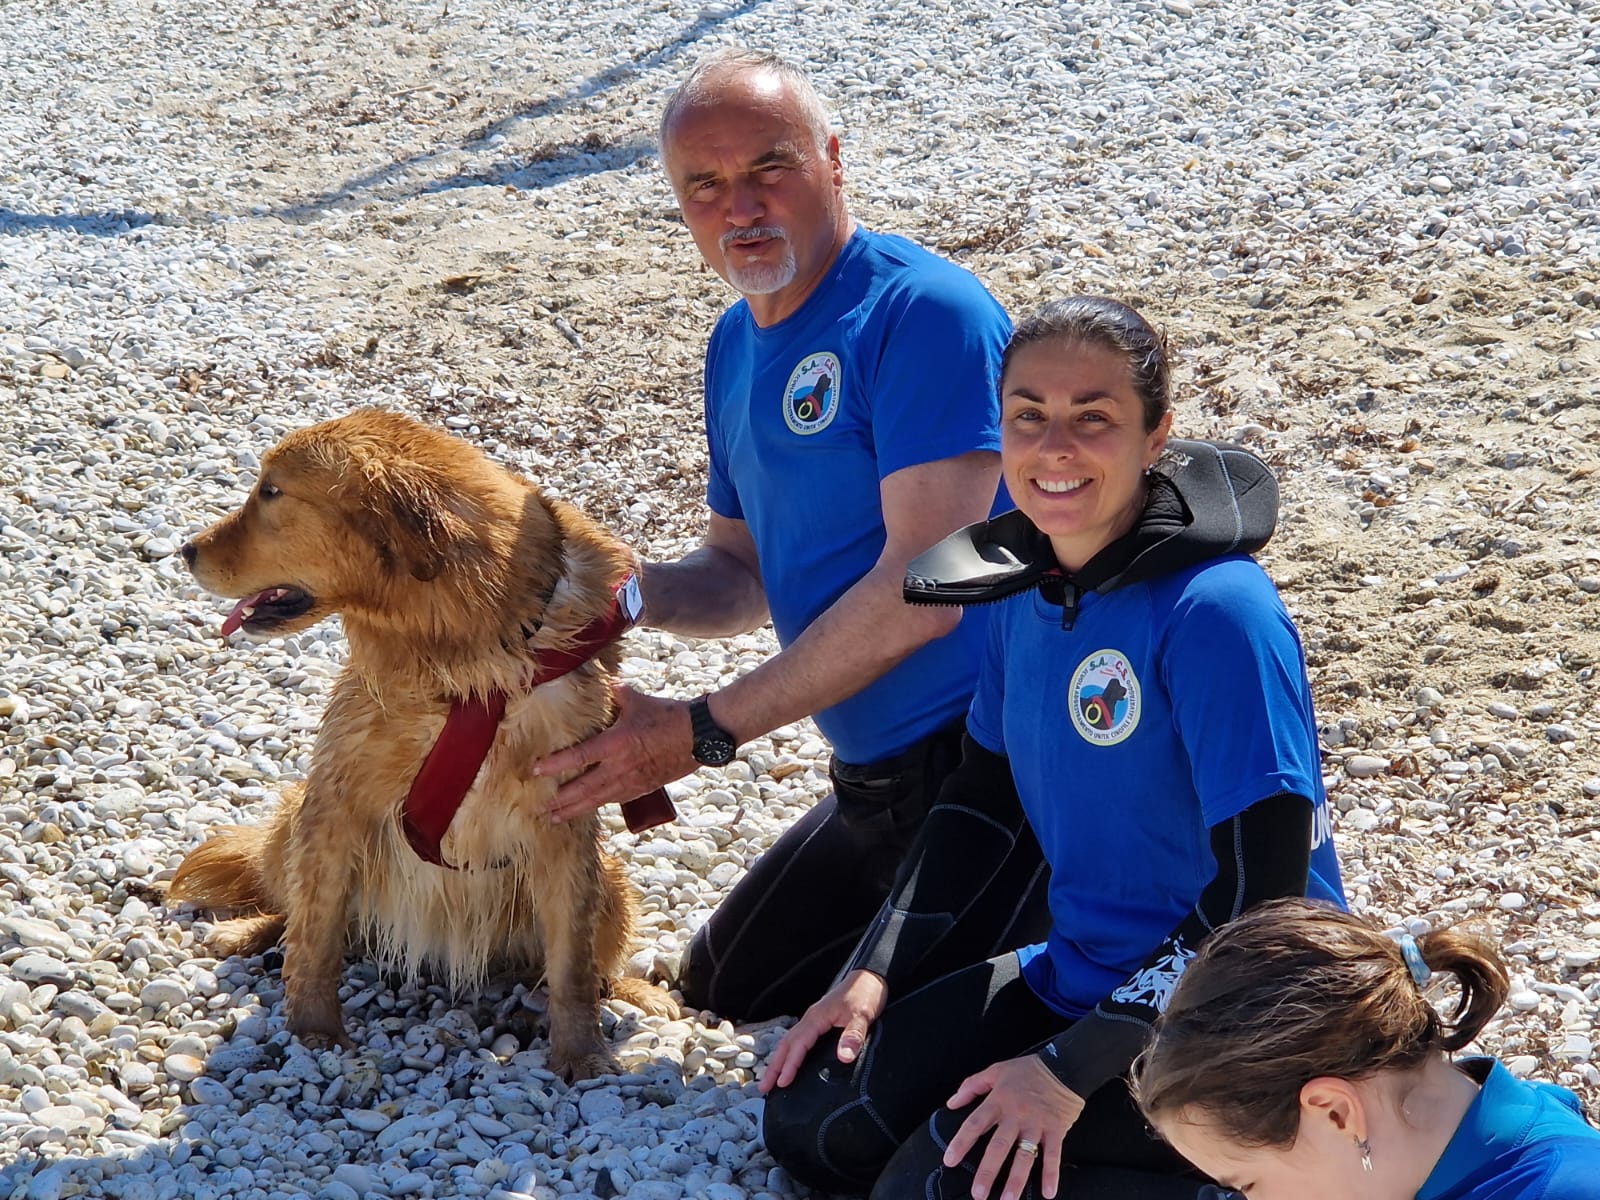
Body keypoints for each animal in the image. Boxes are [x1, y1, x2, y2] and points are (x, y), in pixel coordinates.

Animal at [169, 408, 677, 1081]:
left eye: (272, 492)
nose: (185, 549)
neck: (466, 658)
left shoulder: (565, 825)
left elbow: (571, 964)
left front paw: (581, 1053)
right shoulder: (336, 799)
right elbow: (315, 933)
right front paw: (314, 1030)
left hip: (612, 882)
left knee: (587, 961)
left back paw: (630, 990)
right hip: (292, 821)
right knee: (299, 910)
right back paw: (249, 931)